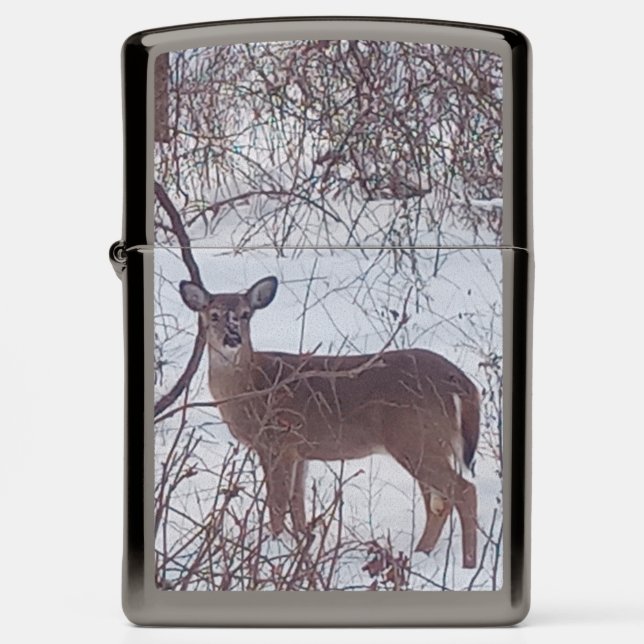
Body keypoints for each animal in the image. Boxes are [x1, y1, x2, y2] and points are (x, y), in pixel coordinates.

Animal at [180, 276, 481, 568]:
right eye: (214, 315)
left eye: (245, 314)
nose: (233, 337)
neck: (251, 387)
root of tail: (461, 381)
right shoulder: (298, 450)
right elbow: (297, 503)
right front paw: (301, 548)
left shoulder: (276, 441)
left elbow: (277, 503)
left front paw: (274, 547)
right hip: (427, 443)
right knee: (439, 503)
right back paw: (420, 554)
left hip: (415, 438)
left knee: (463, 492)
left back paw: (467, 564)